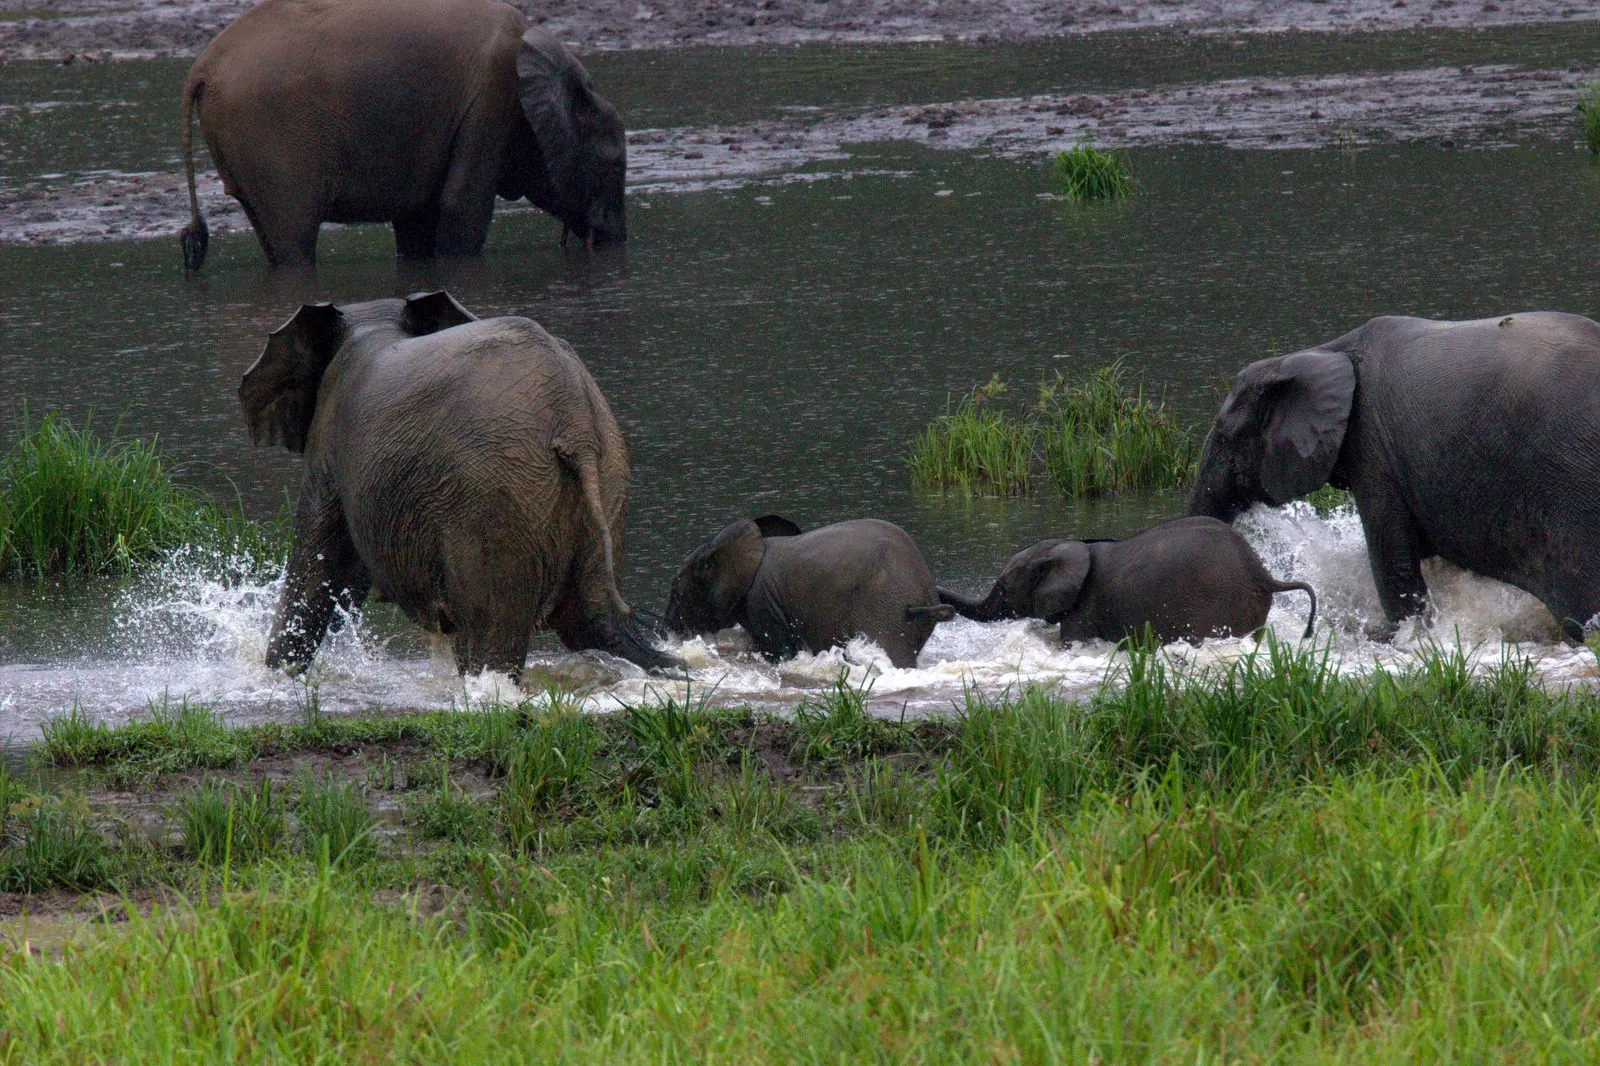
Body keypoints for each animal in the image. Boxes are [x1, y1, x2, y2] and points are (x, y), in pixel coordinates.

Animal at [178, 0, 625, 270]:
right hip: (273, 144)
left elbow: (417, 223)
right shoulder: (491, 98)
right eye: (611, 161)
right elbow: (461, 206)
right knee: (295, 239)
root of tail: (201, 67)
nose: (613, 243)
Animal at [239, 289, 671, 677]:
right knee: (595, 623)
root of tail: (574, 417)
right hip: (607, 470)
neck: (373, 322)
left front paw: (277, 676)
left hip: (491, 495)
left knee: (491, 635)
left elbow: (315, 566)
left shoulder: (327, 443)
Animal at [938, 517, 1316, 645]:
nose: (938, 600)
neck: (1072, 547)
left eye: (1003, 587)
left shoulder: (1086, 607)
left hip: (1224, 601)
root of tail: (1265, 575)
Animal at [1188, 311, 1600, 640]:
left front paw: (1408, 637)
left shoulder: (1373, 446)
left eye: (1225, 436)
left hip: (1572, 482)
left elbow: (1393, 564)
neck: (1316, 353)